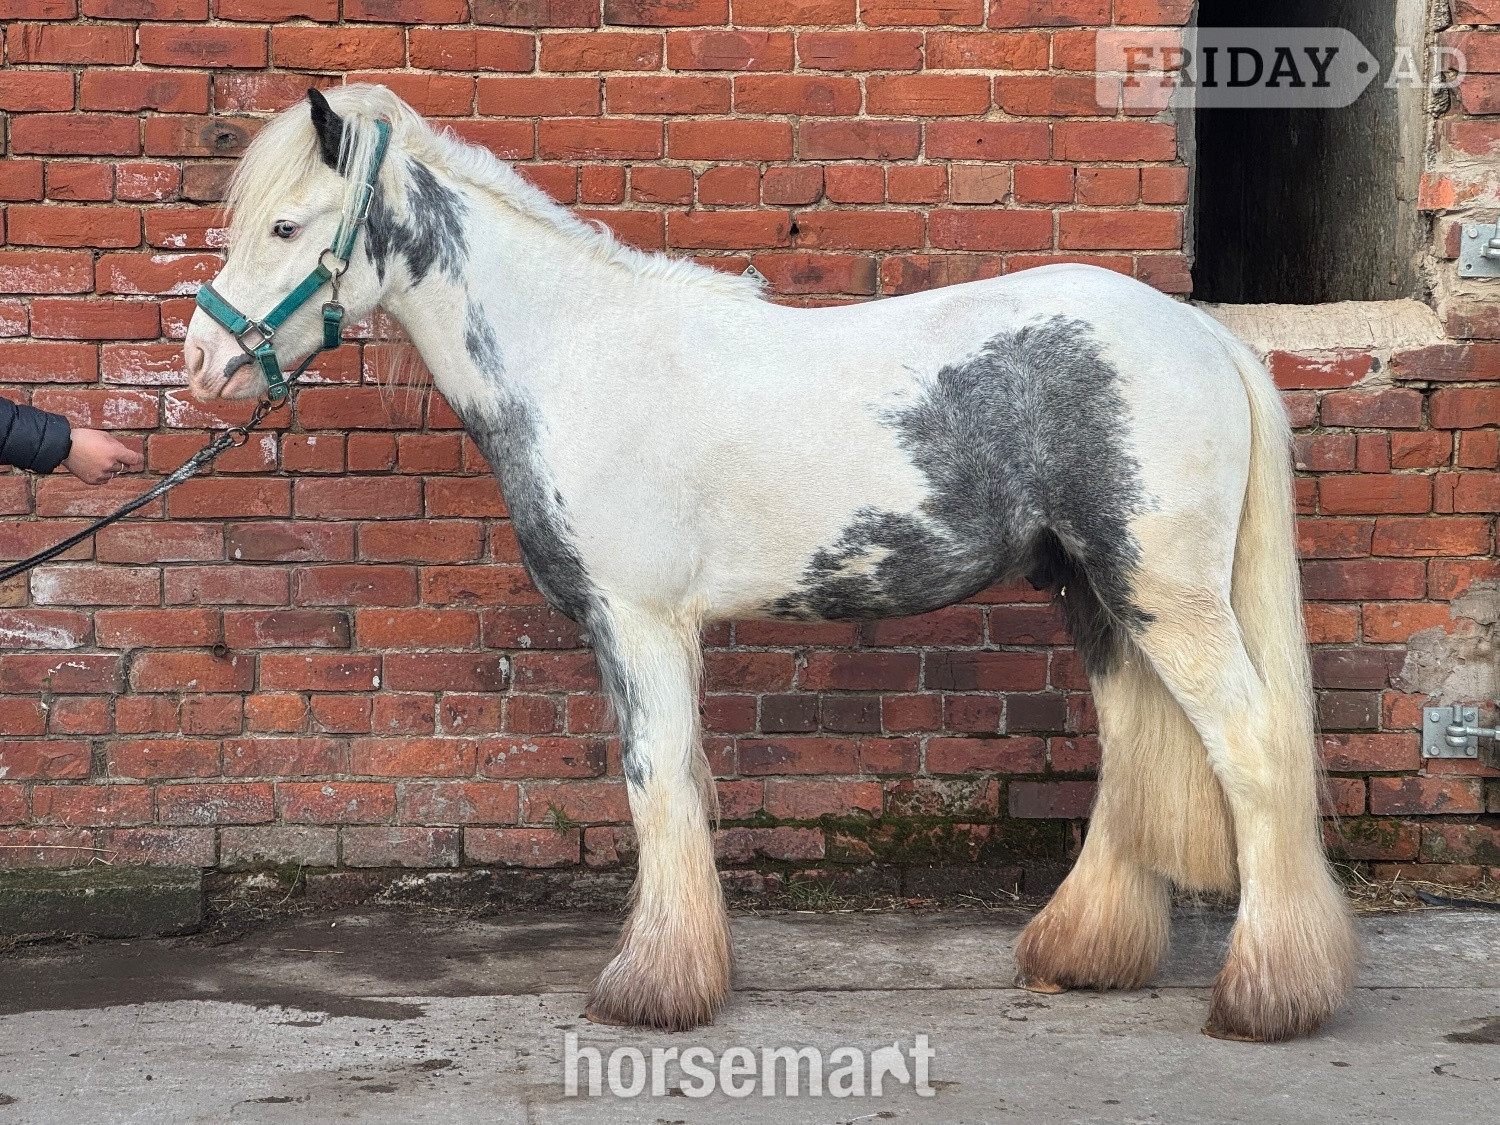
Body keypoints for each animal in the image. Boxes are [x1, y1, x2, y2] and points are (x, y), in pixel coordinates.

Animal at [183, 84, 1358, 1043]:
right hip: (1097, 595)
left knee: (1254, 748)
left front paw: (654, 989)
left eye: (287, 223)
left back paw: (1268, 998)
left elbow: (656, 782)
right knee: (1133, 759)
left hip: (1166, 595)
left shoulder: (640, 620)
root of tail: (1206, 337)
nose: (202, 364)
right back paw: (1081, 955)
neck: (581, 355)